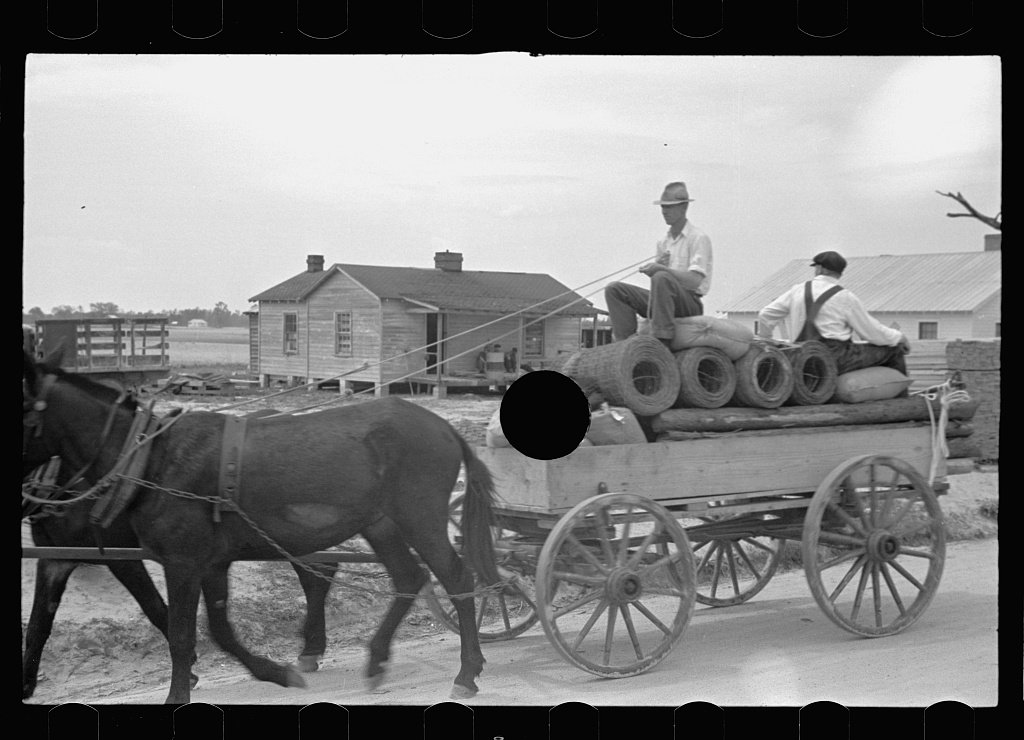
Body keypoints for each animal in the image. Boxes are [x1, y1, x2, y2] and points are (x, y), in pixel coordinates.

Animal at [21, 407, 338, 700]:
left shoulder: (122, 557)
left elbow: (154, 607)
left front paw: (191, 670)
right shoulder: (54, 560)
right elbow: (38, 626)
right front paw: (26, 684)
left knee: (318, 572)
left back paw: (311, 648)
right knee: (319, 572)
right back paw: (312, 648)